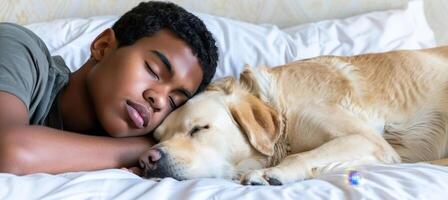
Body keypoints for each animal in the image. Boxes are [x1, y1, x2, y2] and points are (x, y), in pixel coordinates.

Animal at [138, 46, 448, 185]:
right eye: (156, 137)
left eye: (199, 129)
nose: (147, 159)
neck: (281, 106)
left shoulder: (367, 139)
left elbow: (300, 155)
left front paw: (269, 173)